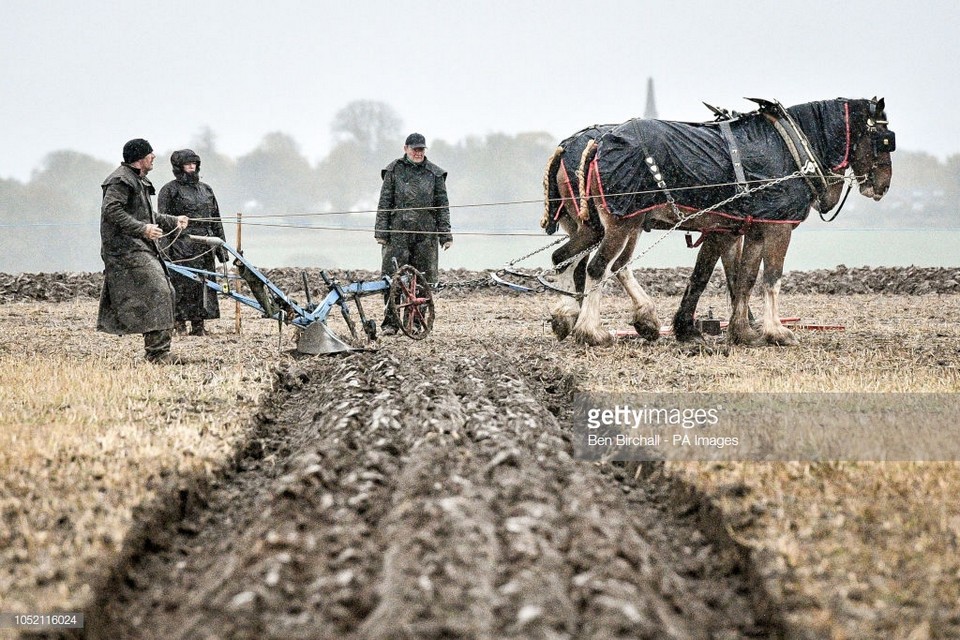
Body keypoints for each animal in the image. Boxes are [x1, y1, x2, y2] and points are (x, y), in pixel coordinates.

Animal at [568, 96, 892, 344]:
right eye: (884, 140)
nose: (884, 185)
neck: (790, 147)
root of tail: (598, 144)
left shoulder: (752, 229)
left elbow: (743, 278)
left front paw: (742, 331)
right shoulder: (778, 227)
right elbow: (771, 278)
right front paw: (777, 331)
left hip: (624, 224)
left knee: (600, 264)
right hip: (621, 224)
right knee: (597, 268)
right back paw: (590, 331)